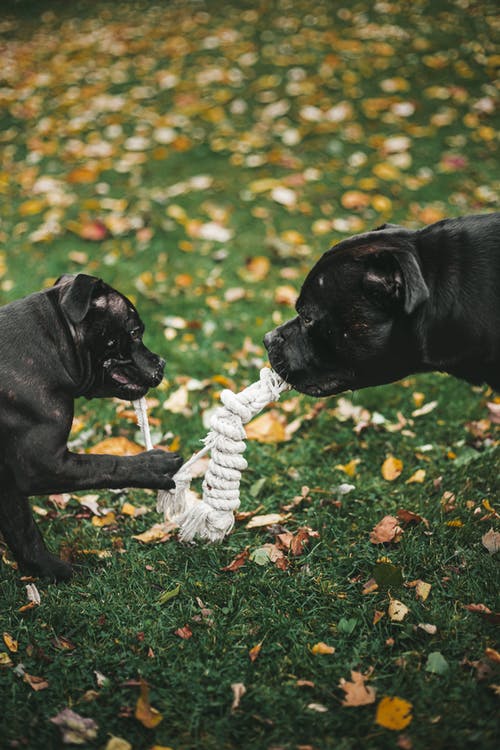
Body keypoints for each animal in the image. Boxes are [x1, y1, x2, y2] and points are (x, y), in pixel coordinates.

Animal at [0, 274, 183, 580]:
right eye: (135, 332)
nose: (162, 361)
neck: (53, 345)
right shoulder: (42, 464)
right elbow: (106, 465)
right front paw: (152, 465)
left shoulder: (8, 478)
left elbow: (23, 530)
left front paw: (49, 570)